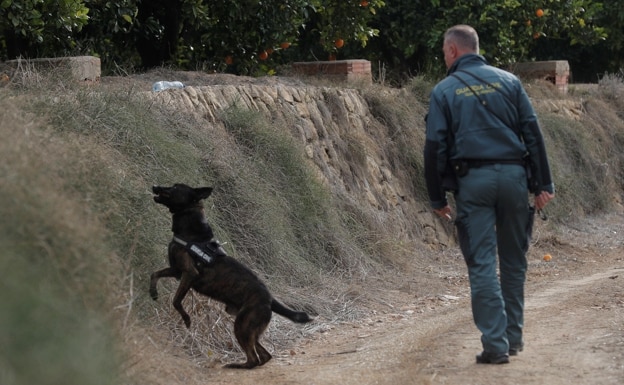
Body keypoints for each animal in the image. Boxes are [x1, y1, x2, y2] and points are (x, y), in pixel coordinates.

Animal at [147, 183, 312, 368]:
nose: (155, 186)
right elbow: (154, 274)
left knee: (254, 359)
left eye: (176, 187)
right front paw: (153, 292)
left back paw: (236, 365)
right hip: (248, 328)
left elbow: (176, 300)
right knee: (264, 355)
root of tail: (270, 299)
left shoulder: (189, 273)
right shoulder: (176, 270)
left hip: (242, 326)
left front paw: (187, 319)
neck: (190, 230)